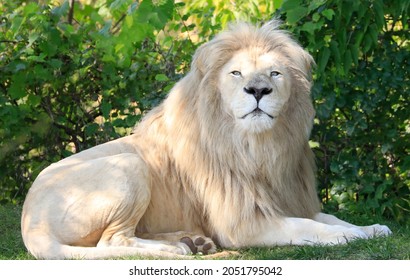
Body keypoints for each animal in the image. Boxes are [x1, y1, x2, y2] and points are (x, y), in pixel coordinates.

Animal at [21, 20, 390, 260]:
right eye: (236, 73)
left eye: (275, 73)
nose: (258, 90)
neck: (259, 148)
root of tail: (30, 222)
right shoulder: (243, 225)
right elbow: (307, 229)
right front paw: (350, 235)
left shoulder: (289, 200)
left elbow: (325, 218)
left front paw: (372, 228)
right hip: (129, 165)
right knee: (111, 242)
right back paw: (175, 248)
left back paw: (194, 240)